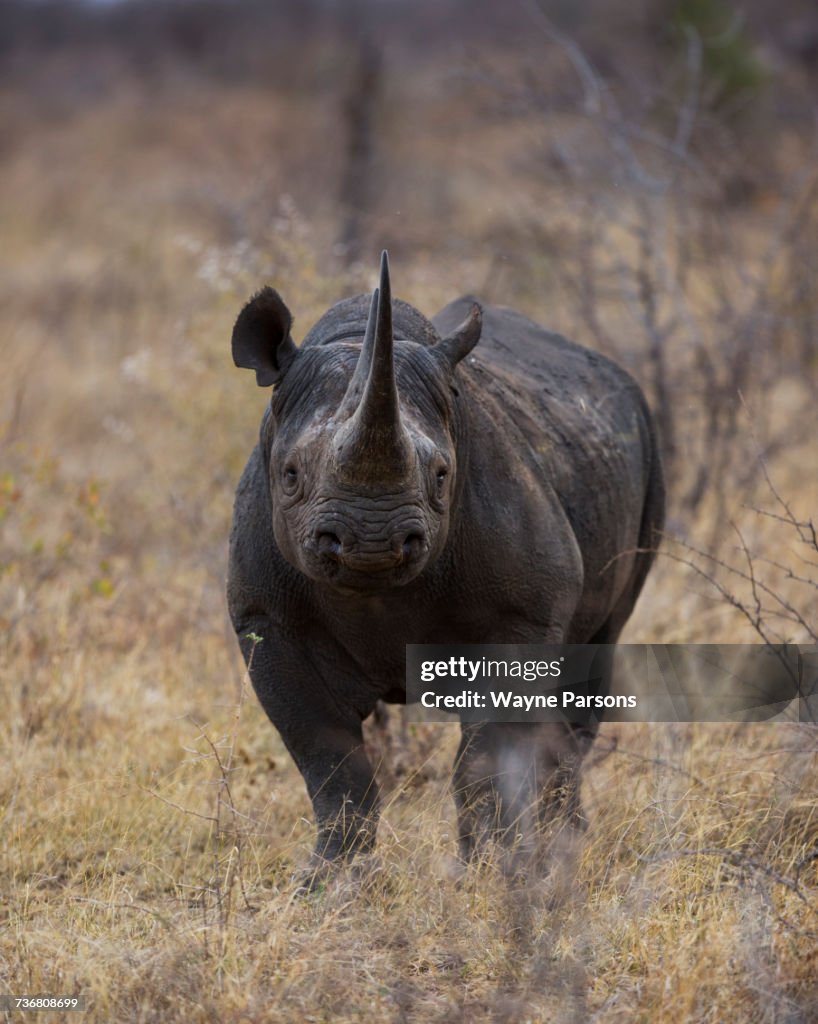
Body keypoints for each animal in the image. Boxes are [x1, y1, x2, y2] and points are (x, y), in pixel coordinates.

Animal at [227, 251, 664, 868]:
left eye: (441, 475)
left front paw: (485, 868)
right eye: (289, 475)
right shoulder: (267, 619)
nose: (371, 541)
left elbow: (481, 758)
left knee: (593, 659)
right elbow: (330, 764)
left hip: (646, 453)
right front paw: (330, 877)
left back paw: (563, 844)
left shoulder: (520, 614)